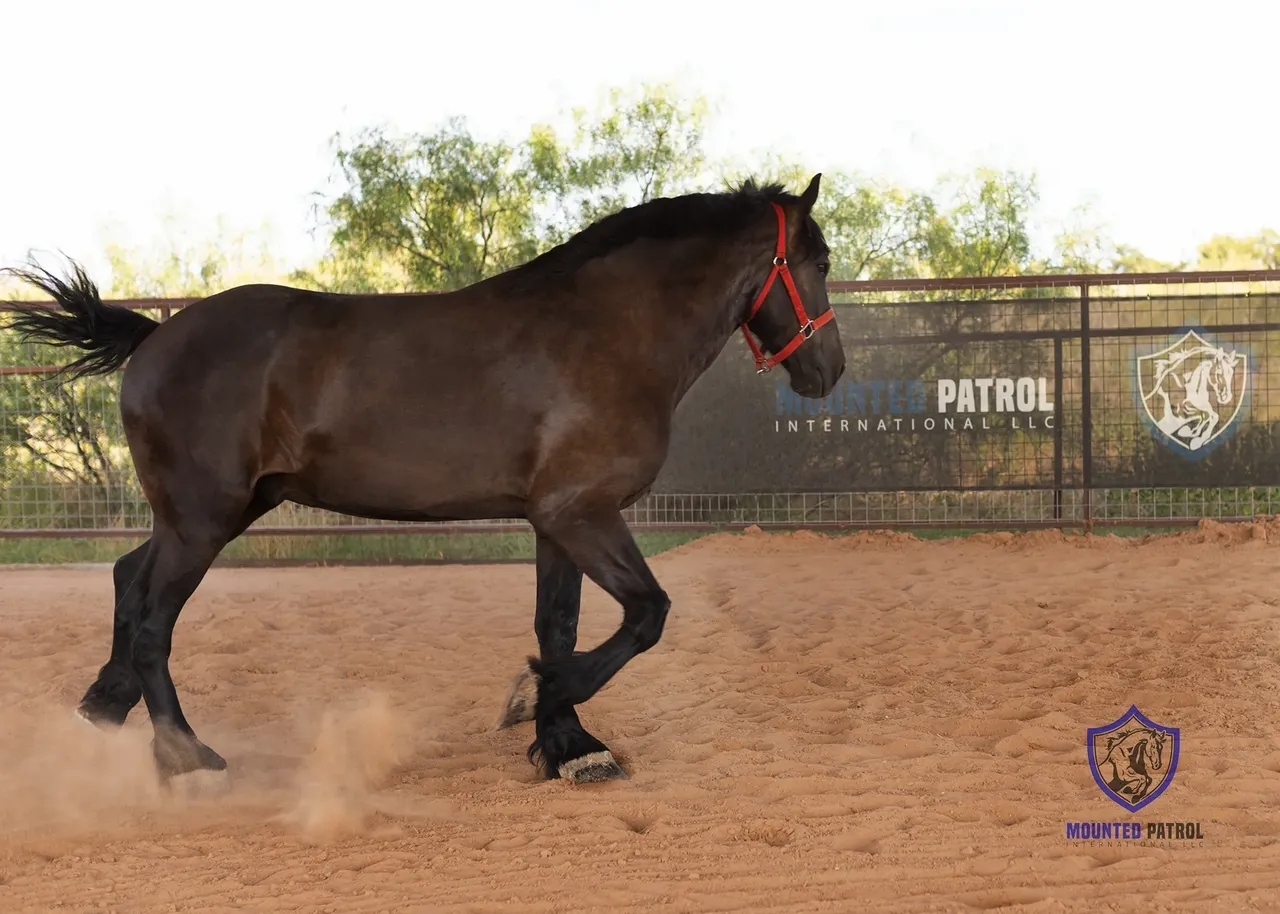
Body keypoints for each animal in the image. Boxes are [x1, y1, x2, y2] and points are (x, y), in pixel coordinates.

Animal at [3, 175, 845, 785]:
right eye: (821, 262)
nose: (828, 371)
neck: (605, 332)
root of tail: (154, 337)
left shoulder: (555, 520)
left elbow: (560, 625)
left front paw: (568, 744)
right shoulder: (584, 513)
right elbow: (646, 615)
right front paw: (535, 701)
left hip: (219, 511)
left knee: (128, 581)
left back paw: (101, 714)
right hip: (201, 521)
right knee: (152, 620)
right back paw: (185, 757)